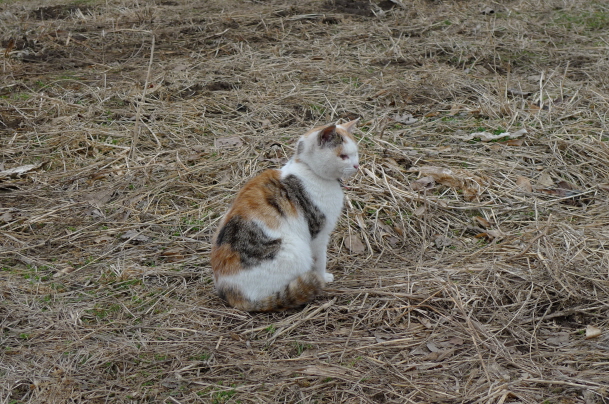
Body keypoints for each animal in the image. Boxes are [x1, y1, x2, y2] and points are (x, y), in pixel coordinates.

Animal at [211, 118, 358, 310]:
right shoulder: (318, 235)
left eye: (356, 154)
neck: (307, 170)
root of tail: (231, 293)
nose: (357, 165)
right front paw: (324, 276)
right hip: (295, 250)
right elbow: (320, 260)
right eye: (343, 156)